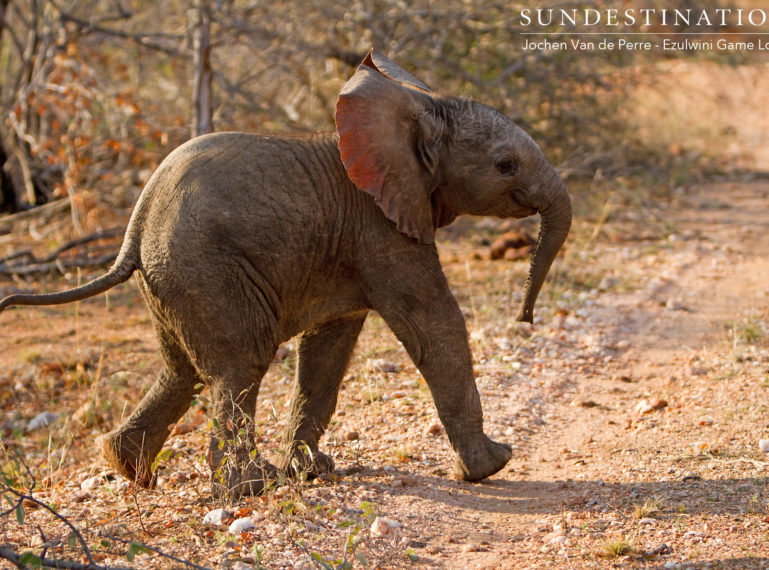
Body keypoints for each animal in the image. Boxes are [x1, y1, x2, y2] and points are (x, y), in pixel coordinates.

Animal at [0, 51, 568, 494]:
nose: (526, 318)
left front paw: (313, 471)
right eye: (505, 166)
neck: (418, 107)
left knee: (183, 372)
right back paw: (250, 486)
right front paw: (493, 465)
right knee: (240, 365)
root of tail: (134, 227)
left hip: (169, 281)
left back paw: (129, 468)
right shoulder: (380, 226)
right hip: (204, 269)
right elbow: (435, 325)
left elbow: (328, 352)